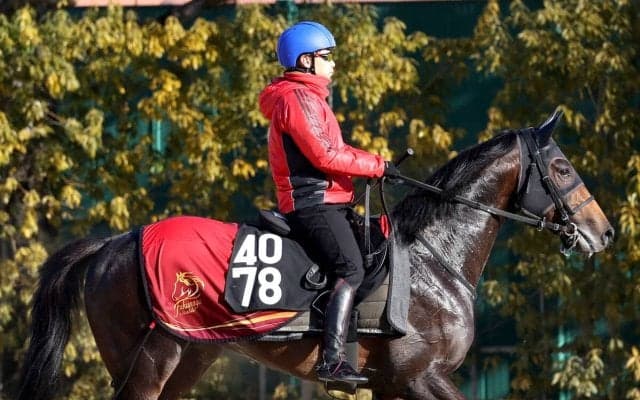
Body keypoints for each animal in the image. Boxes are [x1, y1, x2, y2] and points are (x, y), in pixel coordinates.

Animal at [17, 110, 614, 399]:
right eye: (561, 168)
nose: (603, 233)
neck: (435, 262)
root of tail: (114, 243)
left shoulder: (393, 386)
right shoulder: (422, 378)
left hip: (188, 360)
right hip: (148, 362)